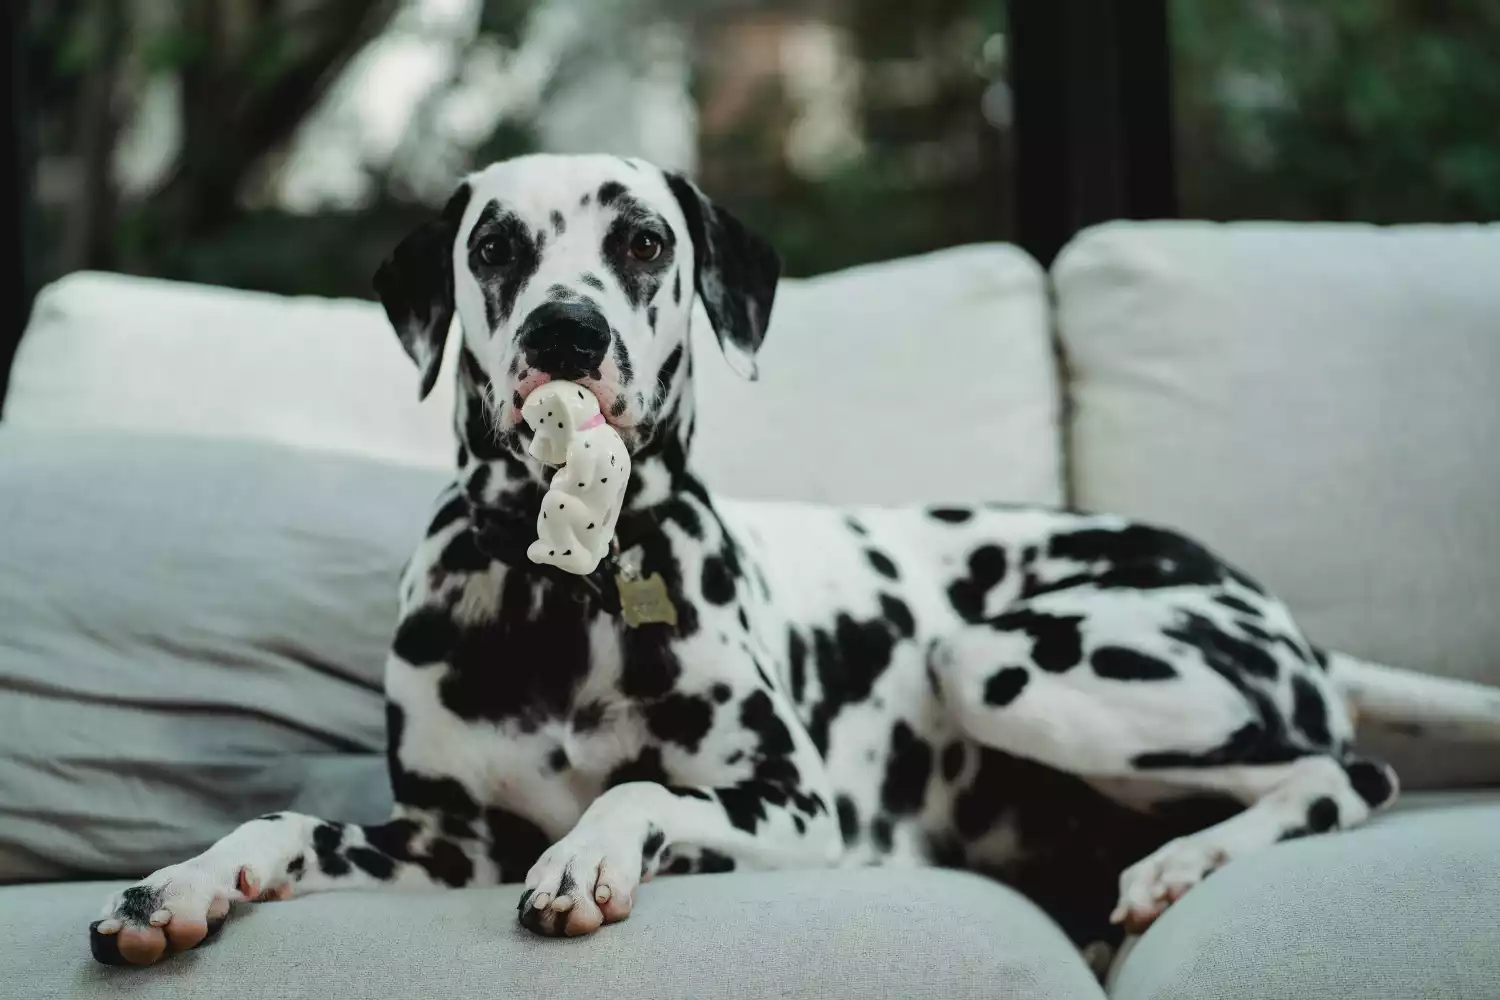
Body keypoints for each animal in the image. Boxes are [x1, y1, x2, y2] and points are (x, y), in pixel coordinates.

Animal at [87, 154, 1500, 971]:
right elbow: (283, 824)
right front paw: (183, 884)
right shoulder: (443, 843)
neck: (562, 587)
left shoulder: (794, 812)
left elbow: (639, 793)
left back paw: (1175, 867)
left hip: (1002, 660)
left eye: (644, 241)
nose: (566, 330)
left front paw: (590, 856)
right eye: (494, 247)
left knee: (1344, 769)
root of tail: (1289, 621)